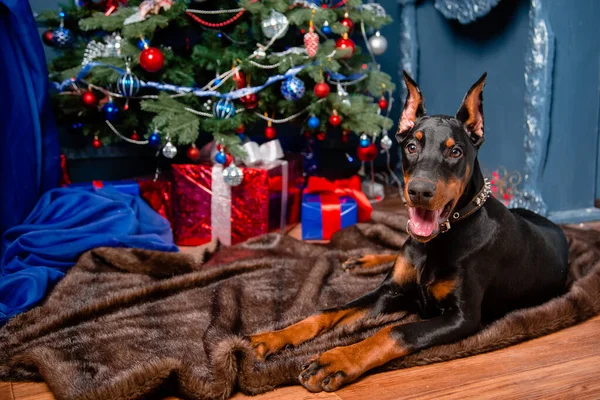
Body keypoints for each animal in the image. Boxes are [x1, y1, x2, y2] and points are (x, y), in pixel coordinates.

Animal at [251, 72, 568, 390]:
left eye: (455, 151)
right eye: (412, 147)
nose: (419, 191)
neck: (437, 241)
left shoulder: (462, 317)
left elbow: (393, 332)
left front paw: (337, 359)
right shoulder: (388, 291)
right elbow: (326, 312)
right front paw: (274, 336)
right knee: (395, 249)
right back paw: (363, 260)